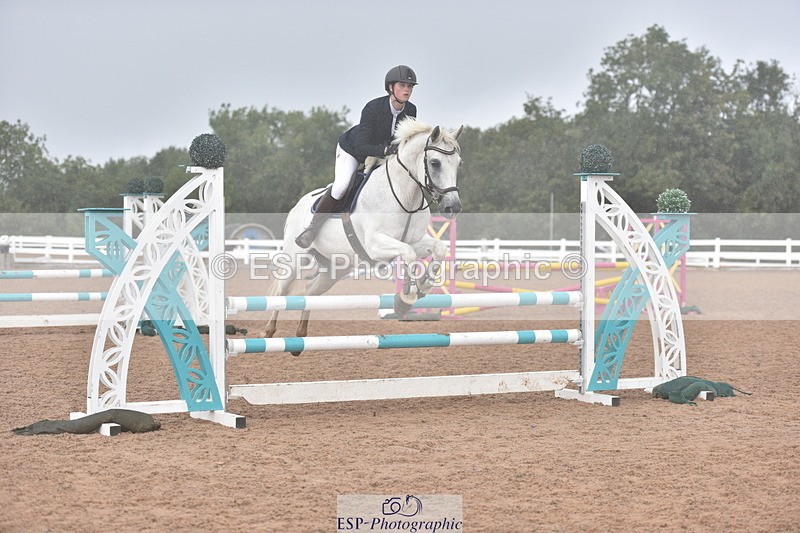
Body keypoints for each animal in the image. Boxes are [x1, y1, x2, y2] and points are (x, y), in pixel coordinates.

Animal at [264, 118, 463, 351]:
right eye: (435, 163)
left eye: (458, 163)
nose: (453, 207)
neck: (405, 196)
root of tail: (298, 205)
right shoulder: (376, 245)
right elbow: (408, 254)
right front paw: (405, 299)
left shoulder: (415, 241)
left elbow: (439, 249)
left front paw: (423, 285)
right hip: (295, 259)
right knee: (281, 293)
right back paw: (269, 332)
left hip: (336, 268)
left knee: (310, 291)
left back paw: (301, 336)